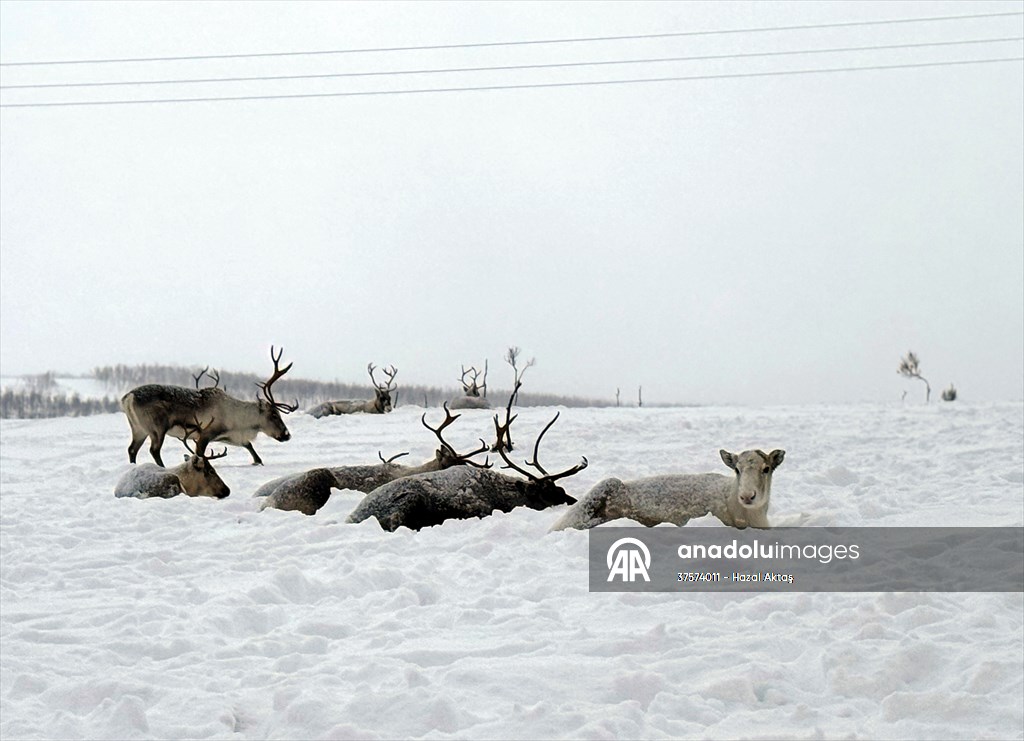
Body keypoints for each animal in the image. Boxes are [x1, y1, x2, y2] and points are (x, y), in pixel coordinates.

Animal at [121, 346, 297, 467]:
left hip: (139, 429)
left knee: (132, 449)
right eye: (274, 415)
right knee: (154, 450)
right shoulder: (206, 433)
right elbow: (199, 453)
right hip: (157, 428)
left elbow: (249, 446)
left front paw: (257, 461)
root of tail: (128, 397)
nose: (287, 434)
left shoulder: (229, 436)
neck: (237, 419)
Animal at [346, 404, 587, 531]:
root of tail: (352, 517)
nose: (574, 501)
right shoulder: (476, 507)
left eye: (561, 488)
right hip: (407, 501)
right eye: (551, 492)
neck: (503, 494)